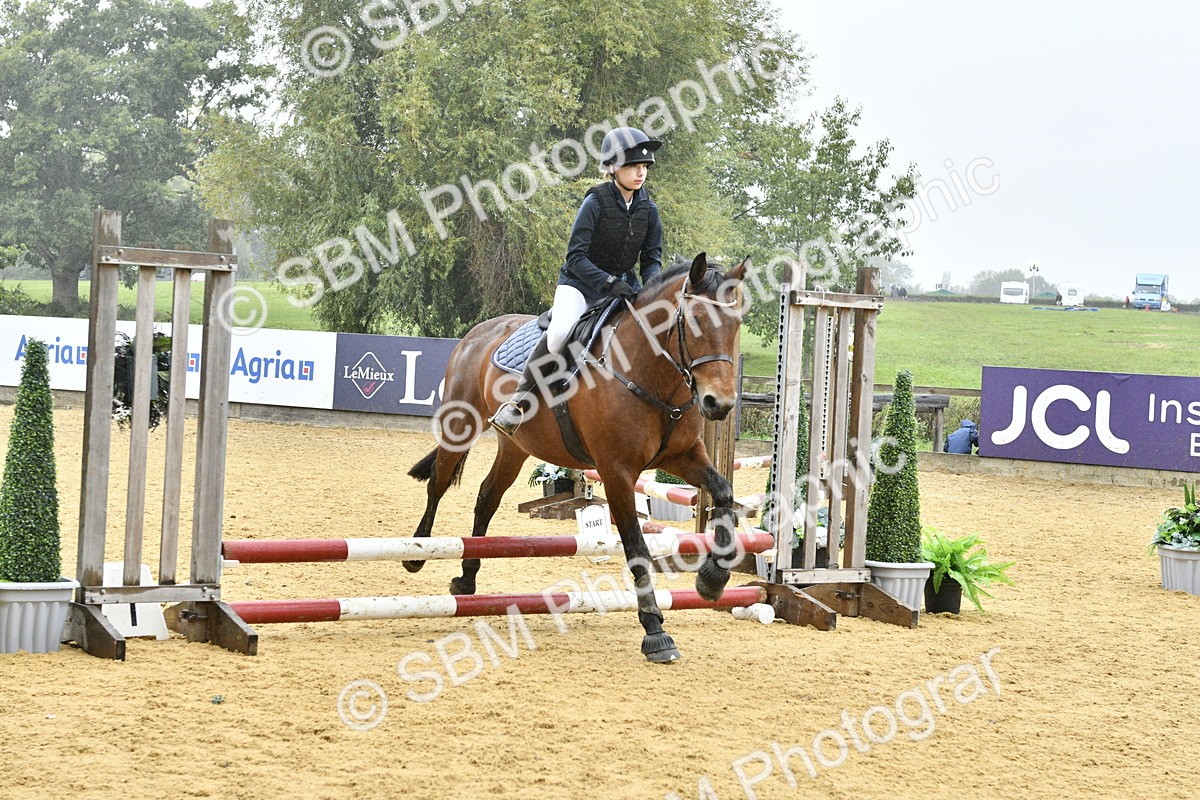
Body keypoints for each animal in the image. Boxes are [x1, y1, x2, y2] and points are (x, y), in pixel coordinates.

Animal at [406, 253, 749, 662]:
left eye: (736, 324)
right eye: (695, 320)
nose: (719, 404)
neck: (649, 370)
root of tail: (480, 331)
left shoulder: (682, 456)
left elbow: (724, 493)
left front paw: (713, 579)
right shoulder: (616, 471)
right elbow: (636, 547)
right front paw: (655, 631)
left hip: (516, 446)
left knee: (487, 496)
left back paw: (466, 578)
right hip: (459, 424)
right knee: (439, 483)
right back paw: (416, 552)